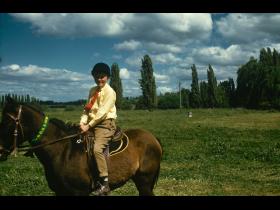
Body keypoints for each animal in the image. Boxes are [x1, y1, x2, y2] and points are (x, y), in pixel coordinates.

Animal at [0, 97, 162, 196]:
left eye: (7, 122)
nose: (0, 151)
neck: (62, 151)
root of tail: (153, 138)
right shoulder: (60, 192)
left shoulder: (78, 192)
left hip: (145, 181)